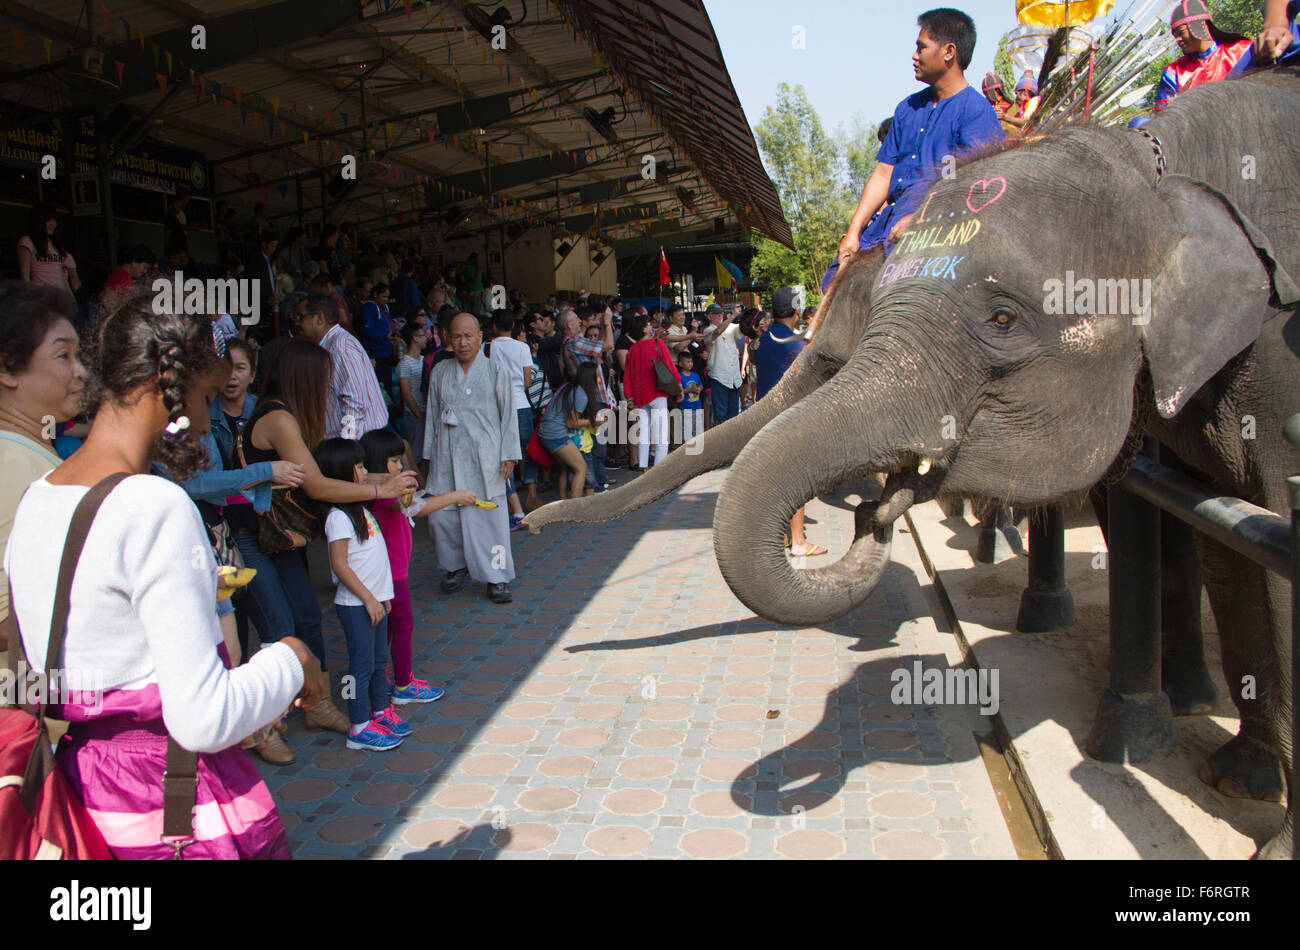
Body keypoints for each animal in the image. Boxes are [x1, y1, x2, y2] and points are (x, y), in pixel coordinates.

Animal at [710, 64, 1299, 857]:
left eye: (1002, 319)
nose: (873, 509)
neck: (1155, 167)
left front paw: (1270, 833)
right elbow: (1228, 544)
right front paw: (1238, 779)